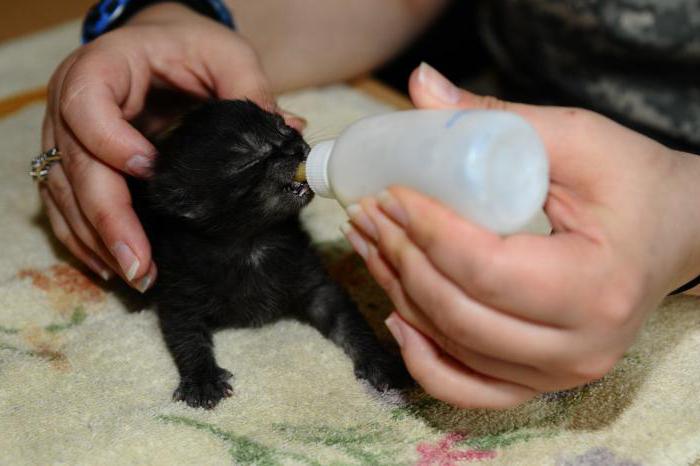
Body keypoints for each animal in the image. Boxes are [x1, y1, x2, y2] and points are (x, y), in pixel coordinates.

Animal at [133, 99, 410, 408]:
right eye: (249, 158)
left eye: (284, 128)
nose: (295, 147)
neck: (253, 242)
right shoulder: (179, 290)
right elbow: (186, 336)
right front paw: (202, 380)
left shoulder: (315, 283)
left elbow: (347, 320)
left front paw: (378, 359)